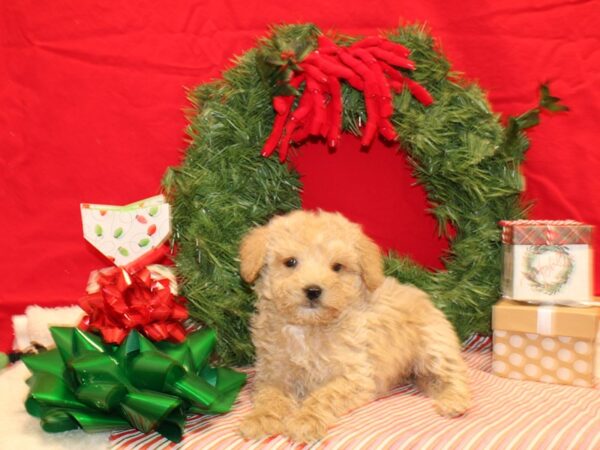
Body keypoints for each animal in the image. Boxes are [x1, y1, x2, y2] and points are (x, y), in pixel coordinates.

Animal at [238, 211, 468, 442]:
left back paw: (454, 402)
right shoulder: (272, 371)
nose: (313, 290)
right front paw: (260, 418)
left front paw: (305, 420)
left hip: (435, 347)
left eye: (337, 267)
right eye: (290, 262)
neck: (308, 328)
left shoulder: (354, 376)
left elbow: (324, 395)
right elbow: (270, 395)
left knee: (456, 374)